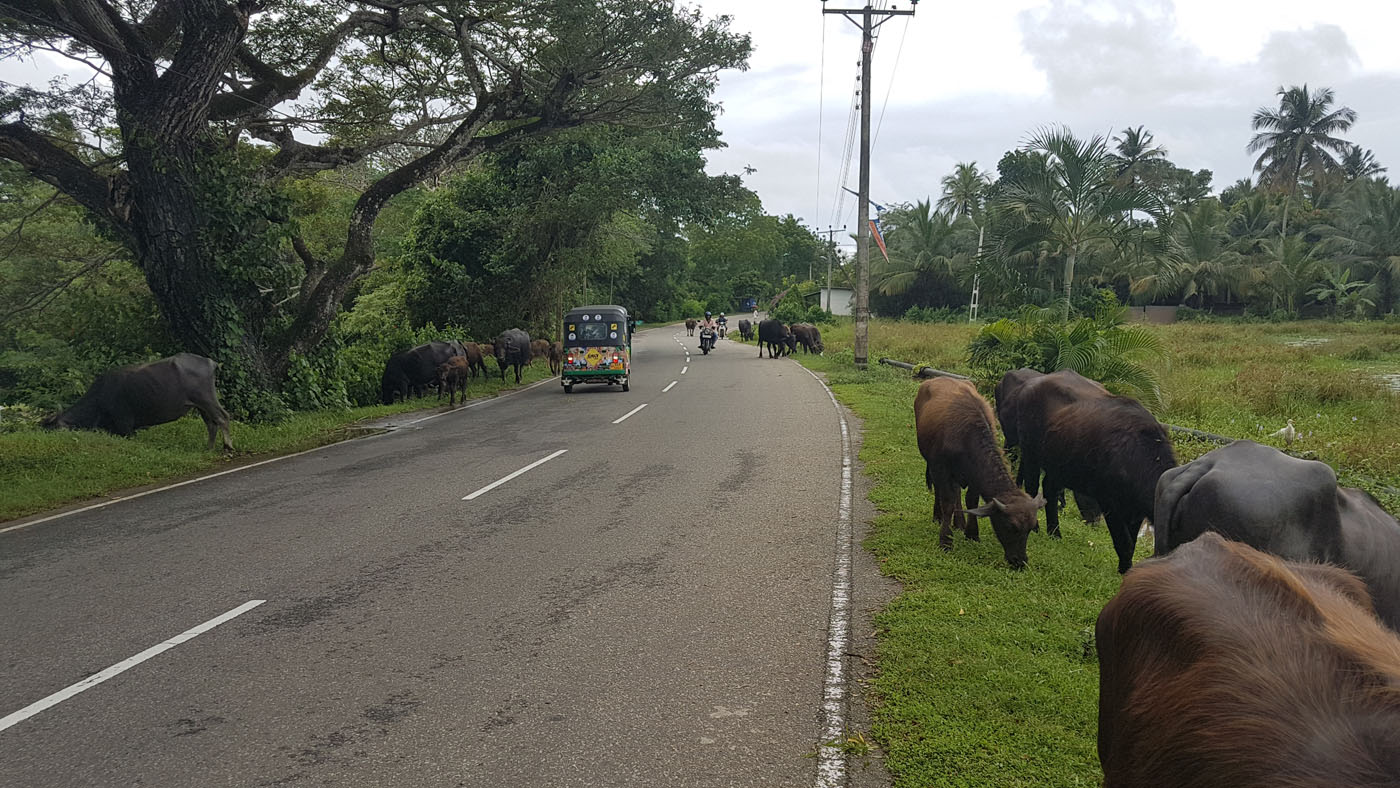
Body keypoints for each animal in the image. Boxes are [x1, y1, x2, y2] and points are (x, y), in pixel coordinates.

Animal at [42, 352, 232, 450]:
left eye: (54, 429)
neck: (100, 397)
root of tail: (210, 362)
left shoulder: (125, 425)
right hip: (200, 405)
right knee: (211, 423)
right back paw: (208, 448)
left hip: (207, 399)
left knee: (222, 417)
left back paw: (228, 447)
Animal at [912, 377, 1047, 571]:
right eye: (1010, 527)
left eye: (1030, 528)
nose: (1019, 562)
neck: (966, 437)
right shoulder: (941, 468)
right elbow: (947, 503)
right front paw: (946, 540)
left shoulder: (974, 475)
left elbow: (971, 500)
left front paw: (971, 533)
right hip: (932, 464)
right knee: (940, 490)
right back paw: (938, 516)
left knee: (956, 493)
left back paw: (959, 523)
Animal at [1036, 397, 1176, 571]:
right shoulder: (1111, 505)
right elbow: (1124, 542)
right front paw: (1125, 570)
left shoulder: (1135, 512)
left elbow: (1132, 542)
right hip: (1057, 469)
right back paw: (1055, 533)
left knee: (1050, 488)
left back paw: (1053, 532)